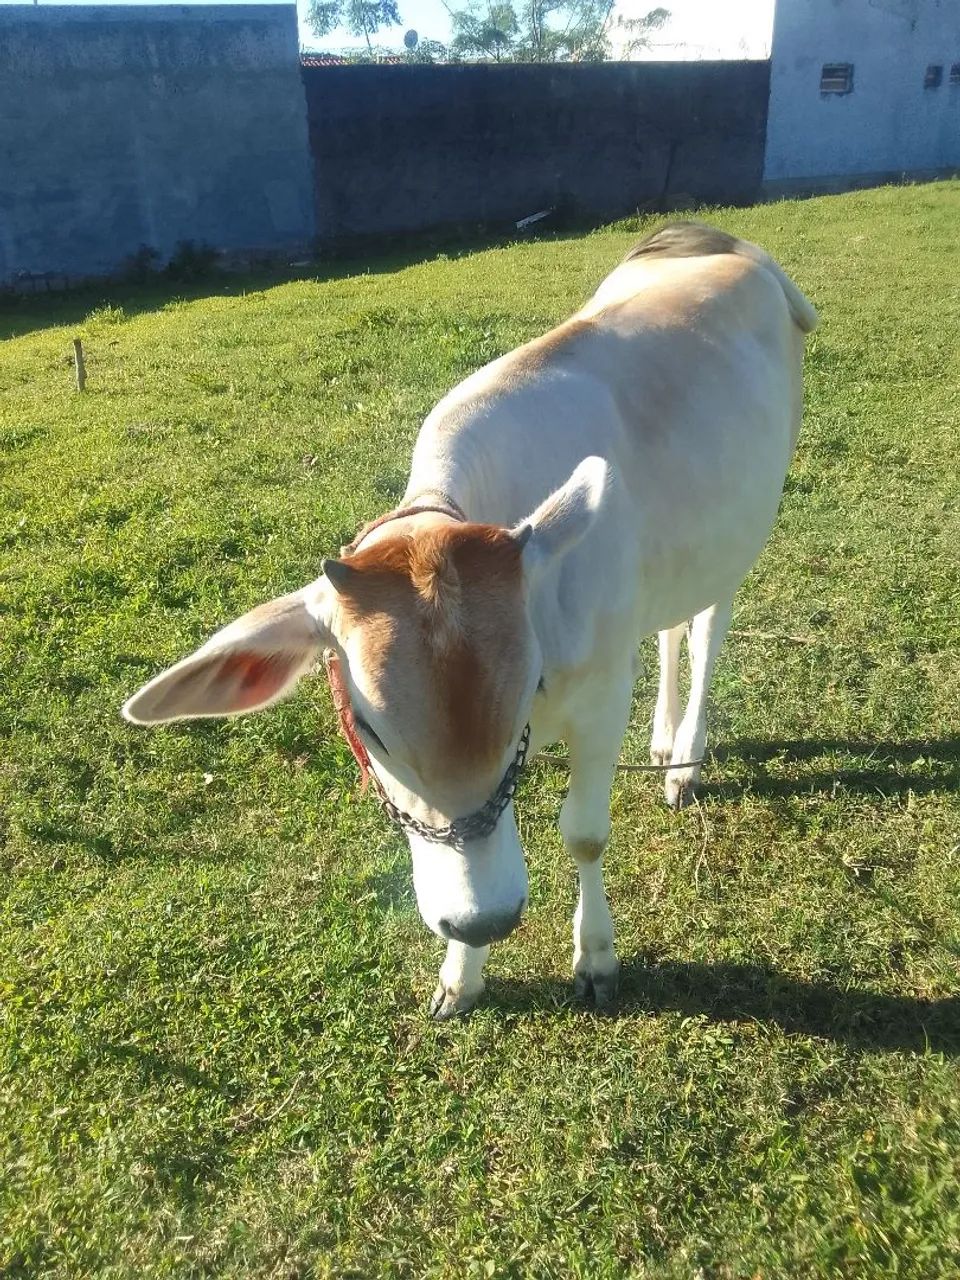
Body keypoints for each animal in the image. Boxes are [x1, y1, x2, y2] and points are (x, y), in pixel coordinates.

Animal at [123, 222, 818, 1019]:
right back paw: (664, 739)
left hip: (743, 531)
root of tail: (724, 241)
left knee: (705, 630)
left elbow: (584, 834)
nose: (484, 918)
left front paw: (595, 957)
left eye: (522, 702)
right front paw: (461, 973)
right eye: (370, 730)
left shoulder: (601, 692)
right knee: (671, 627)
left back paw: (686, 759)